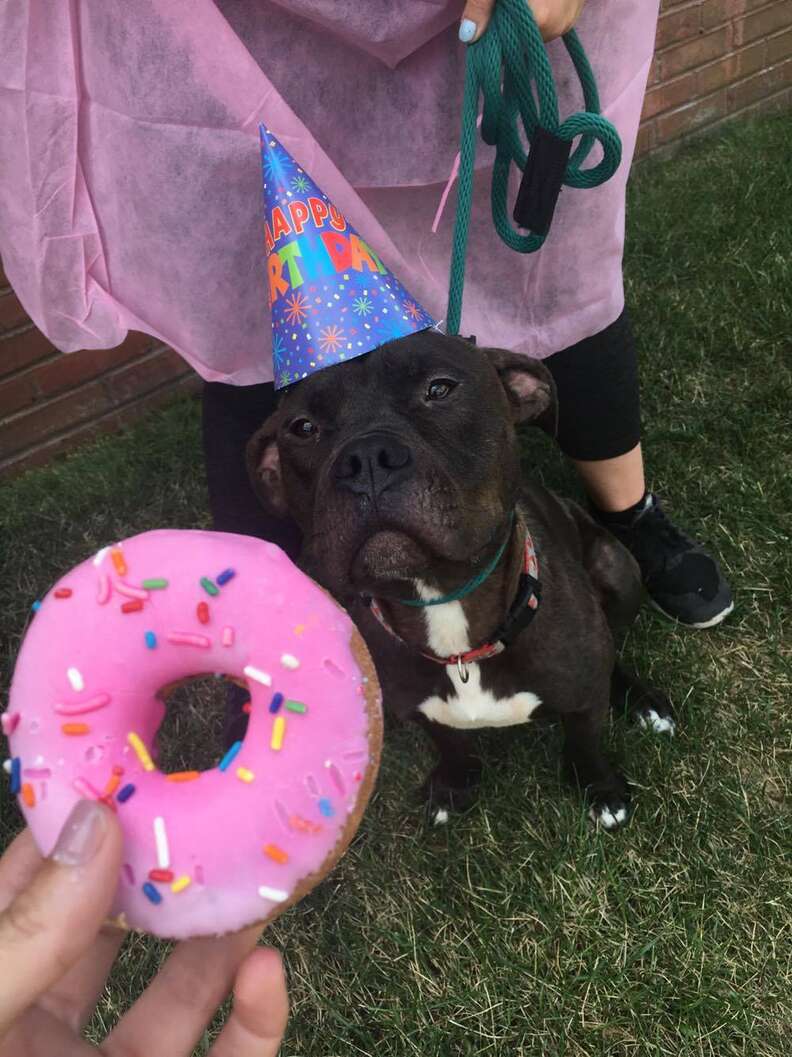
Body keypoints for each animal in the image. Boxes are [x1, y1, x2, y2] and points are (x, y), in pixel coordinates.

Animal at [247, 334, 672, 828]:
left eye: (440, 388)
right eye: (303, 427)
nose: (366, 459)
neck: (445, 607)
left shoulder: (584, 697)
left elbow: (585, 742)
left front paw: (601, 789)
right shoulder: (416, 706)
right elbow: (449, 742)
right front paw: (454, 785)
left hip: (617, 568)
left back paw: (642, 701)